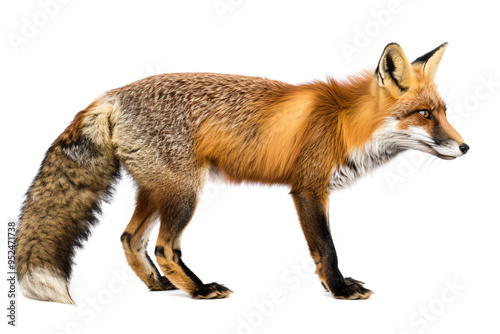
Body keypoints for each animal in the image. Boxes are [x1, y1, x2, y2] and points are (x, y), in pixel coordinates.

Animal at [15, 41, 468, 302]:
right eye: (424, 115)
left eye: (444, 112)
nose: (466, 147)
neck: (344, 124)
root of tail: (112, 95)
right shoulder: (308, 189)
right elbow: (327, 248)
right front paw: (339, 290)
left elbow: (321, 252)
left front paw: (330, 286)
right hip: (184, 194)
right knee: (164, 247)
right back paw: (198, 290)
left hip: (156, 190)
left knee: (130, 238)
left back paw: (160, 287)